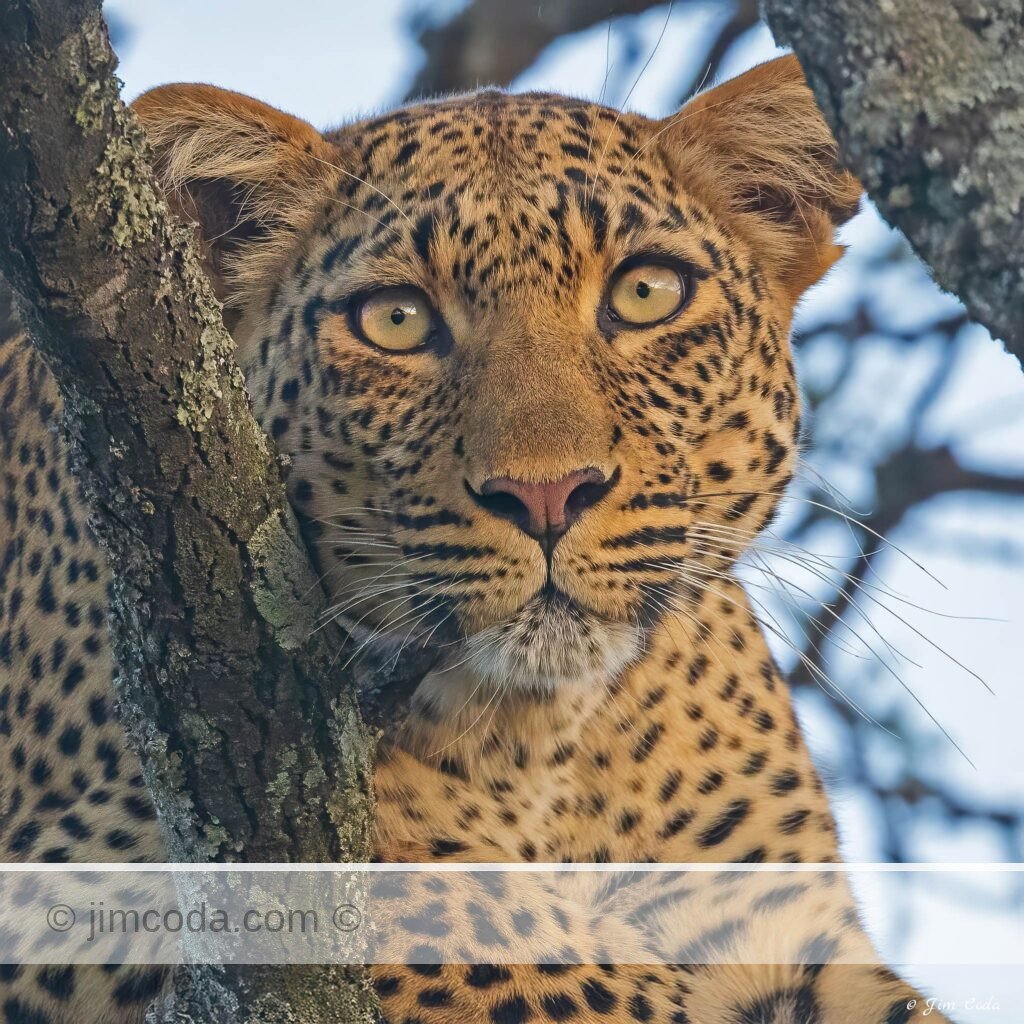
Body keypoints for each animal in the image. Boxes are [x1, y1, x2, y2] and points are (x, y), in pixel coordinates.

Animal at [0, 53, 956, 1023]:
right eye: (396, 319)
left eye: (646, 292)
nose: (547, 495)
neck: (543, 743)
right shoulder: (82, 869)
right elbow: (481, 922)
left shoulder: (779, 917)